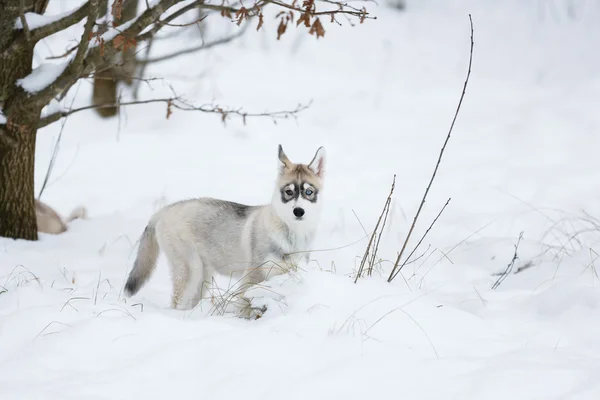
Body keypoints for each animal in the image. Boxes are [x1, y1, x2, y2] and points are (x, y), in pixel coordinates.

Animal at [123, 145, 326, 318]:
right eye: (289, 192)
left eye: (309, 192)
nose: (298, 211)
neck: (291, 236)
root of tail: (166, 209)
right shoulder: (252, 277)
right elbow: (245, 304)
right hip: (190, 271)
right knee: (177, 303)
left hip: (202, 279)